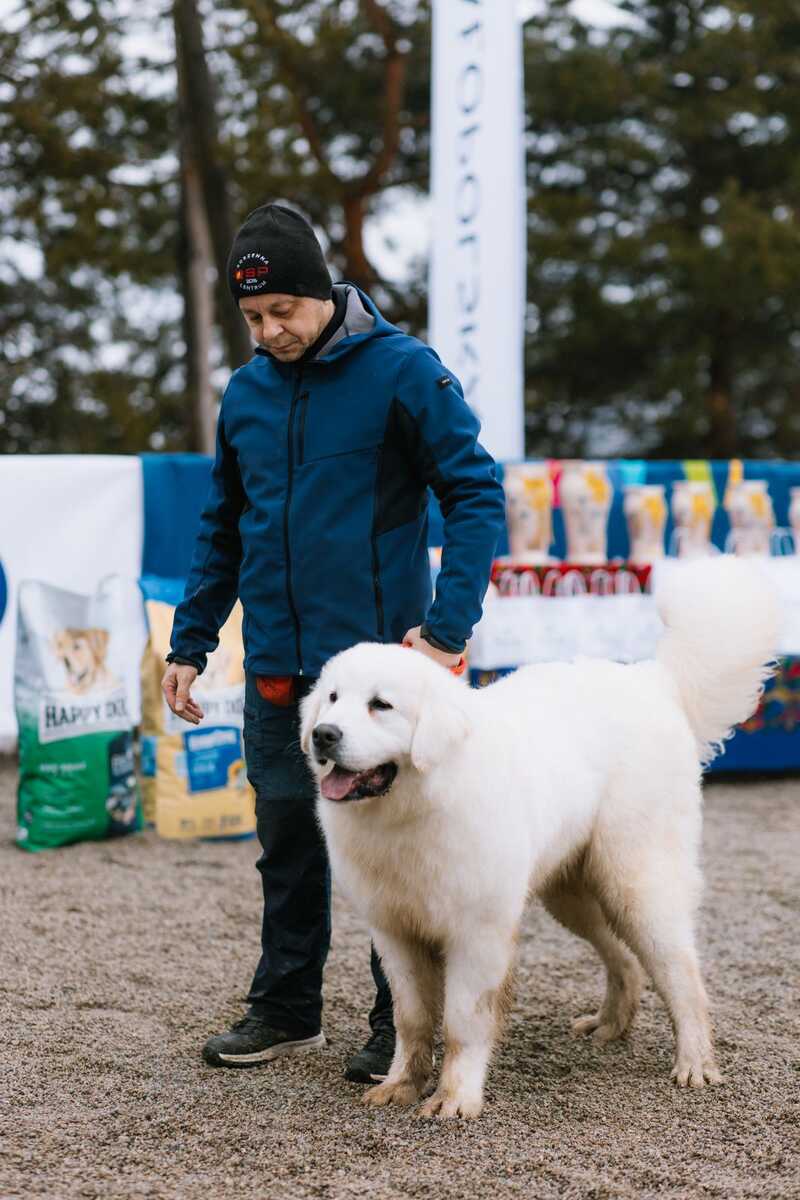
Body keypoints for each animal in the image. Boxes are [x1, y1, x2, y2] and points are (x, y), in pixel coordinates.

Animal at [300, 557, 779, 1119]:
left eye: (381, 705)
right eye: (332, 698)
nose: (323, 734)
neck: (413, 809)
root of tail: (649, 679)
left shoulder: (477, 933)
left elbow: (462, 1022)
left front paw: (455, 1097)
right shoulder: (396, 933)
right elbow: (412, 1020)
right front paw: (402, 1084)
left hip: (636, 883)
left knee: (680, 973)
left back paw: (694, 1062)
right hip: (572, 892)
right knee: (623, 959)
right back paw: (609, 1025)